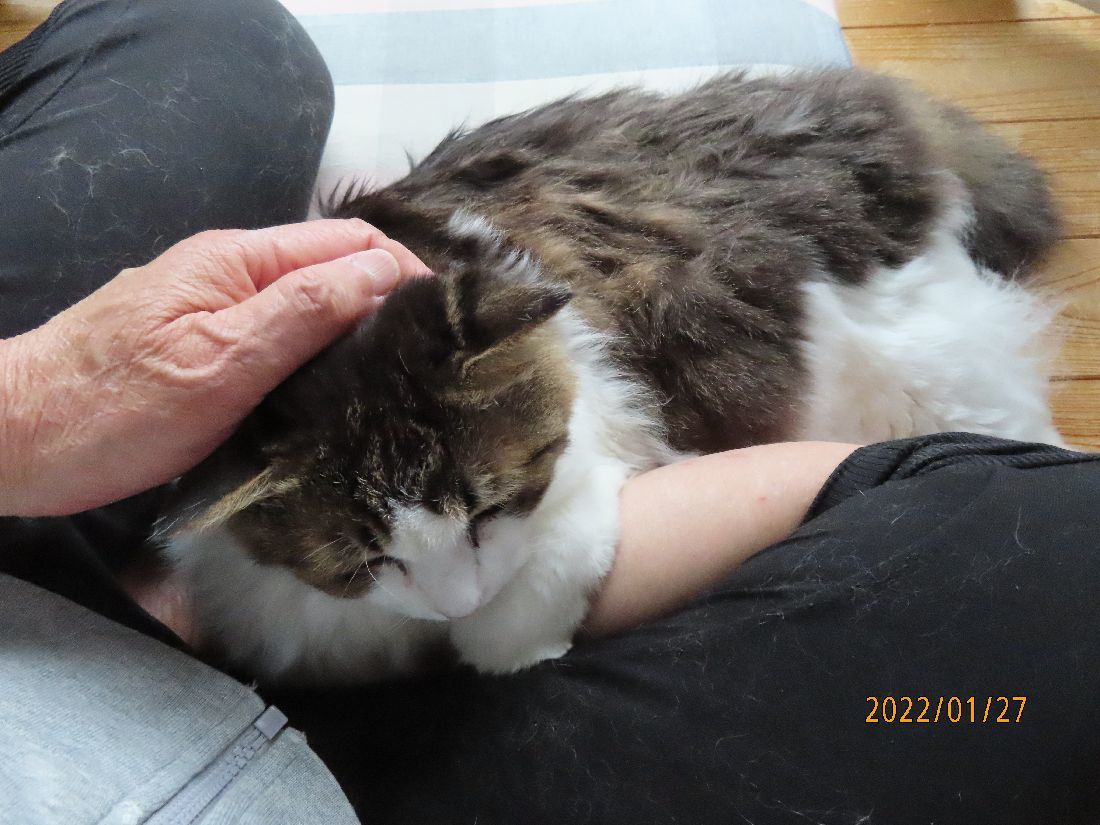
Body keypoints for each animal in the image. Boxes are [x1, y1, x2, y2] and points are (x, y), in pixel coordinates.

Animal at [160, 69, 1062, 685]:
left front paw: (519, 646)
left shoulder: (592, 454)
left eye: (486, 510)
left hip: (918, 368)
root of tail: (872, 110)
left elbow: (533, 589)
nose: (457, 602)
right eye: (366, 562)